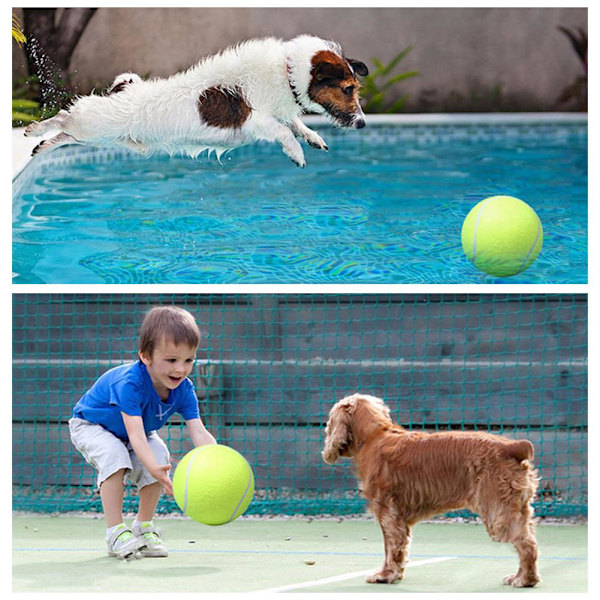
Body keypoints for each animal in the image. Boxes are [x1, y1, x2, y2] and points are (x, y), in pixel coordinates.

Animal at [23, 34, 368, 166]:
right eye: (348, 89)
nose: (363, 123)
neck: (287, 72)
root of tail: (123, 90)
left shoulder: (280, 111)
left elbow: (294, 122)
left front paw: (312, 137)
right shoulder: (256, 120)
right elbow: (283, 130)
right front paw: (297, 153)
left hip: (101, 137)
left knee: (65, 135)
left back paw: (42, 145)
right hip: (92, 123)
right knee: (63, 117)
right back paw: (34, 130)